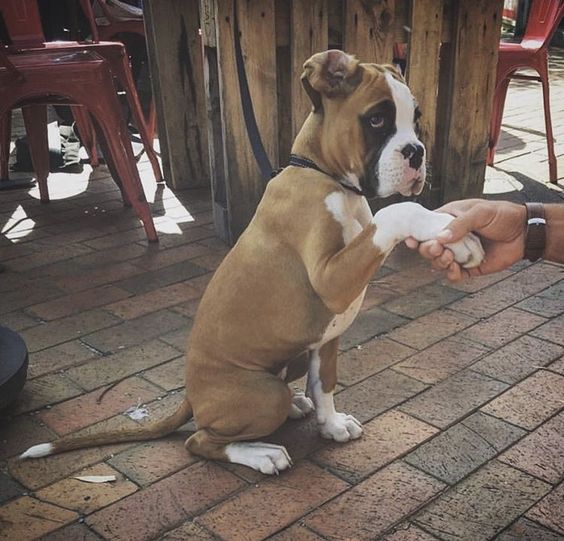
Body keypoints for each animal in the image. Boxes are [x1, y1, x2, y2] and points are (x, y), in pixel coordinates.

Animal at [19, 49, 482, 472]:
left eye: (415, 118)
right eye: (377, 120)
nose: (416, 152)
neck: (326, 177)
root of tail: (191, 397)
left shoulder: (327, 338)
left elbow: (325, 384)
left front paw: (331, 425)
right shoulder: (331, 280)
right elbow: (396, 212)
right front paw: (451, 232)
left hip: (294, 357)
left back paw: (297, 407)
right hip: (260, 394)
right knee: (200, 441)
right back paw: (261, 453)